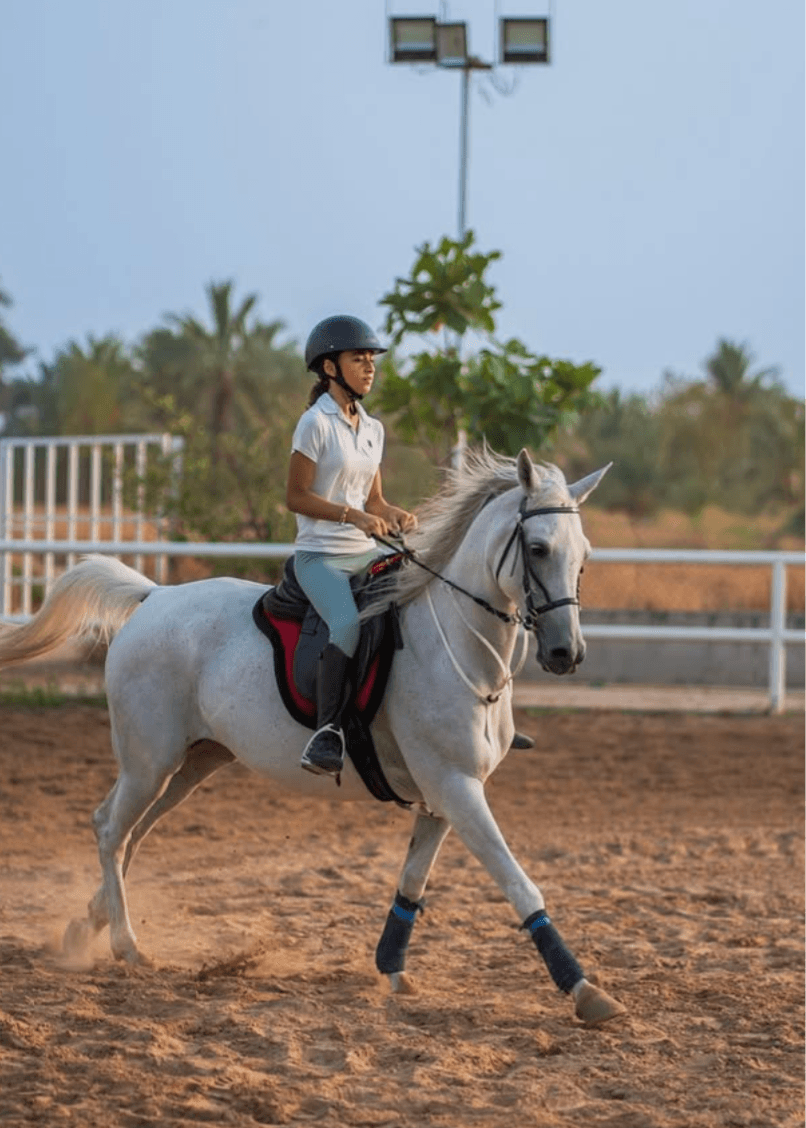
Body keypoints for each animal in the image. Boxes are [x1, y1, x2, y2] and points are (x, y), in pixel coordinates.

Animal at [0, 448, 624, 1025]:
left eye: (586, 555)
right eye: (537, 548)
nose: (566, 653)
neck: (455, 640)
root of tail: (154, 597)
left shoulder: (443, 798)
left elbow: (412, 884)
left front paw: (391, 969)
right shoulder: (456, 787)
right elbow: (520, 886)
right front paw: (585, 990)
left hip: (193, 763)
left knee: (133, 834)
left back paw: (87, 925)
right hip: (148, 760)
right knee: (111, 829)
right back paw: (126, 945)